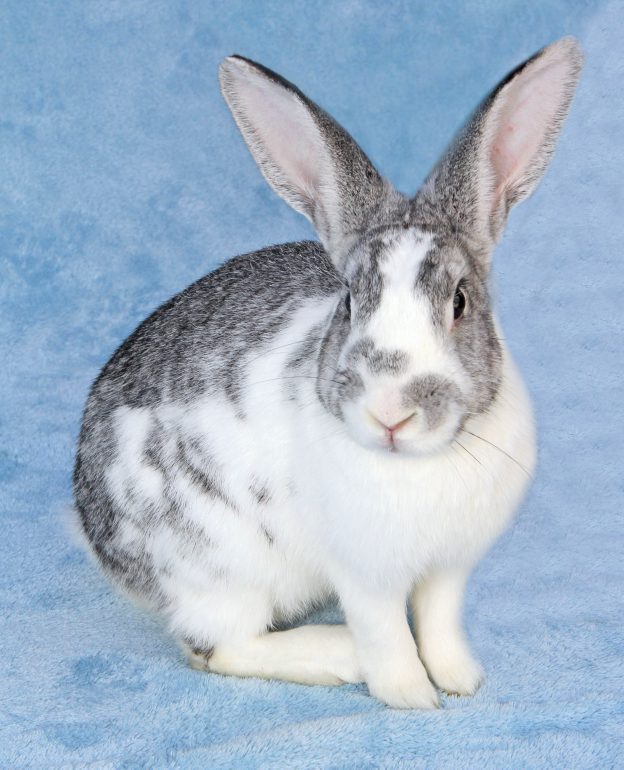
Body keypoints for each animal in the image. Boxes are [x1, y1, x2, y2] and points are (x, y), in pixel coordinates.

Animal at [74, 38, 582, 709]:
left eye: (460, 302)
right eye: (348, 301)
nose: (390, 411)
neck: (415, 464)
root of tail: (94, 529)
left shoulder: (449, 569)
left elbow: (440, 622)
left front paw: (459, 681)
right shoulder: (363, 575)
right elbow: (386, 633)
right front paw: (410, 696)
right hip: (220, 571)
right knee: (220, 649)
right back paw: (337, 653)